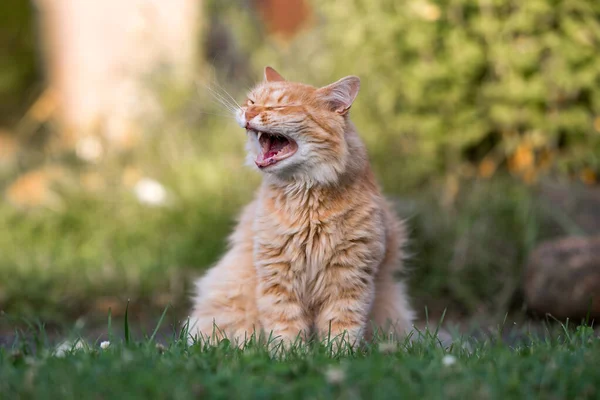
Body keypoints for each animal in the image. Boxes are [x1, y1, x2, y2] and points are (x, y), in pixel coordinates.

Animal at [188, 67, 412, 348]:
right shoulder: (278, 277)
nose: (247, 113)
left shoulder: (349, 279)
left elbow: (342, 330)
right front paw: (290, 354)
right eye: (251, 101)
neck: (306, 201)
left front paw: (337, 355)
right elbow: (285, 328)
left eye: (279, 106)